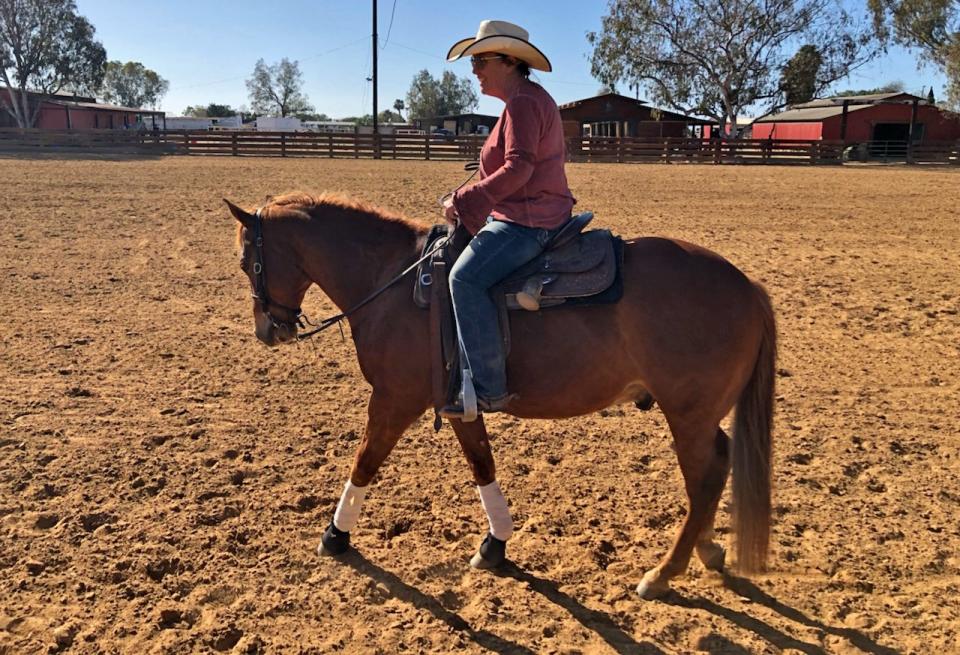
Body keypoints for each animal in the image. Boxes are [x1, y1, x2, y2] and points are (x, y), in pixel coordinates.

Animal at [225, 193, 772, 600]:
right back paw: (706, 551)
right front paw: (495, 545)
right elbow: (482, 464)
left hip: (688, 415)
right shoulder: (458, 404)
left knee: (704, 478)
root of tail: (748, 286)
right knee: (717, 465)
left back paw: (663, 573)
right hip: (699, 417)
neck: (395, 283)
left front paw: (335, 535)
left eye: (248, 262)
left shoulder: (393, 400)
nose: (267, 331)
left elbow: (365, 462)